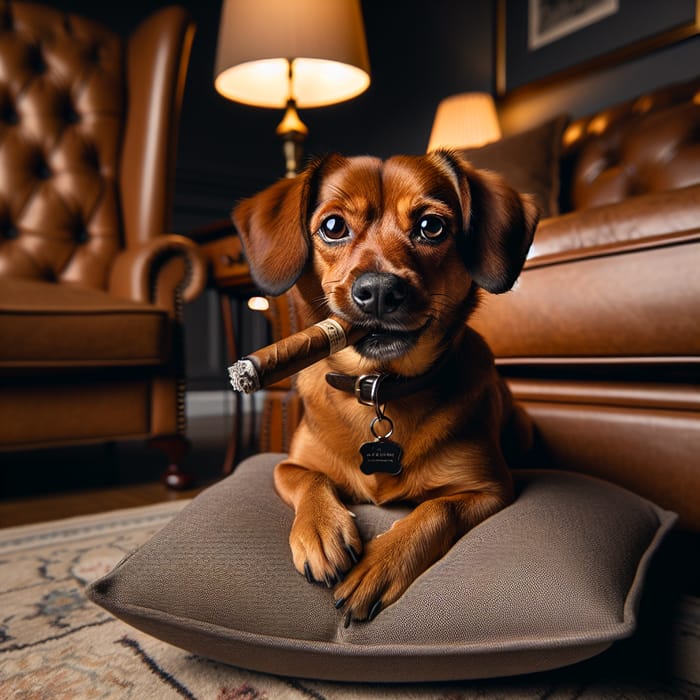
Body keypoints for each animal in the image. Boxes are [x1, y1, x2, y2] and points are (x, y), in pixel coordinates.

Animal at [232, 152, 540, 624]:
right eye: (333, 226)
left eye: (431, 226)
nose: (378, 290)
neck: (381, 386)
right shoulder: (288, 465)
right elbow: (309, 478)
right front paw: (321, 530)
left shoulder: (488, 489)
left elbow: (436, 509)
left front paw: (380, 564)